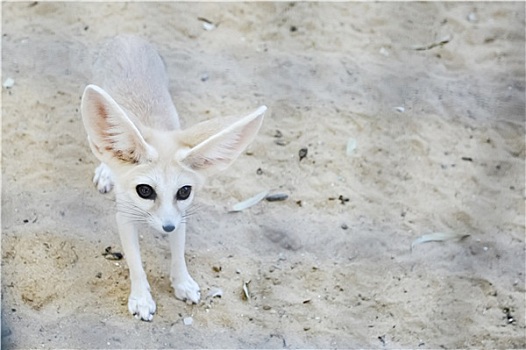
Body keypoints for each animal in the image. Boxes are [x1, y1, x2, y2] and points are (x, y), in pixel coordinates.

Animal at [81, 34, 268, 320]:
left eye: (184, 191)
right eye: (145, 190)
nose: (166, 227)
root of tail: (128, 36)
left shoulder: (181, 215)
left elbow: (178, 253)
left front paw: (182, 283)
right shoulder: (125, 216)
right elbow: (135, 263)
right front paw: (141, 298)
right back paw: (105, 170)